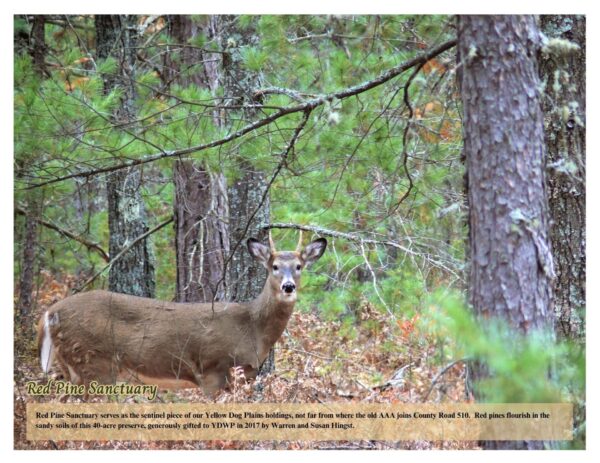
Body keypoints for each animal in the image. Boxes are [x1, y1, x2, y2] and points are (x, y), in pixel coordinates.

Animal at [36, 234, 328, 396]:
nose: (288, 286)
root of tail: (49, 314)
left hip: (71, 365)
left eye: (299, 266)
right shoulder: (212, 368)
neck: (252, 329)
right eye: (275, 266)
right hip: (95, 361)